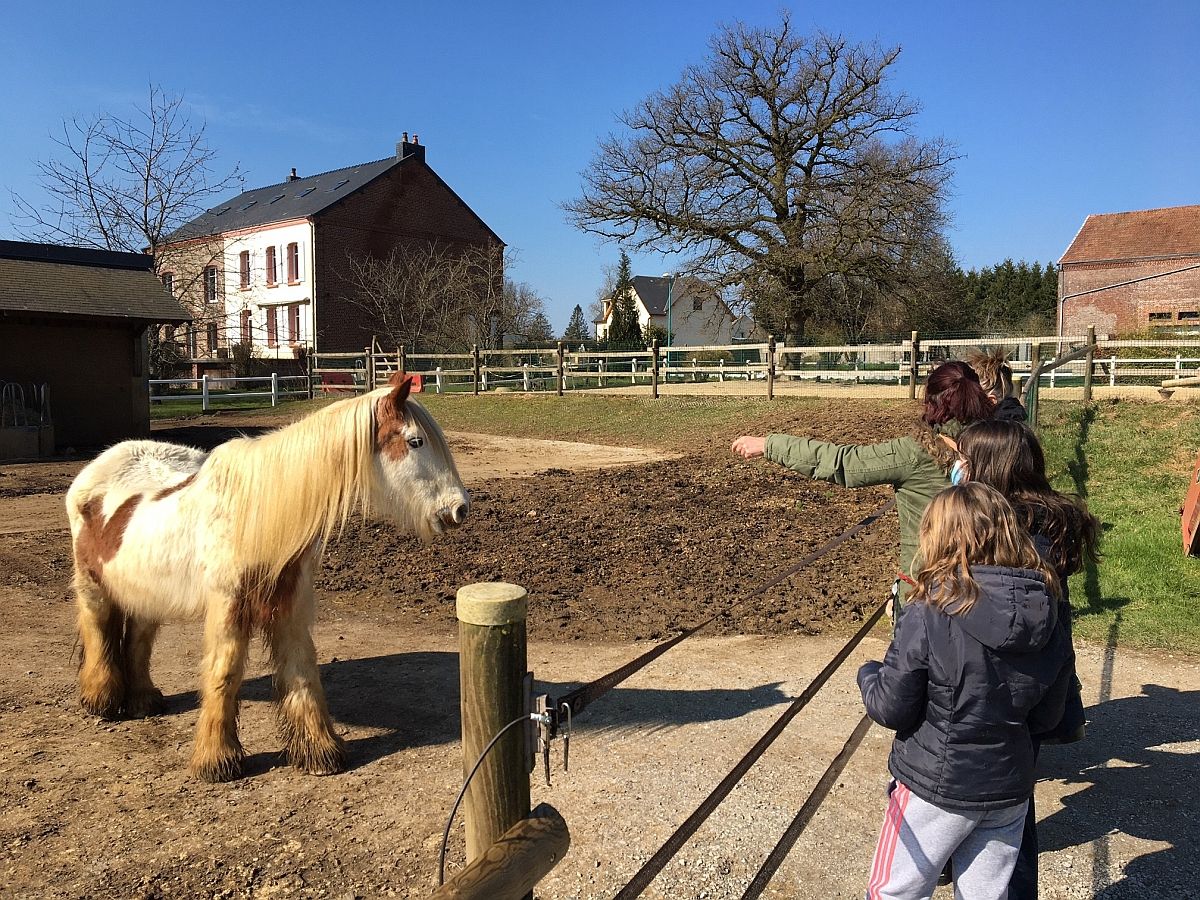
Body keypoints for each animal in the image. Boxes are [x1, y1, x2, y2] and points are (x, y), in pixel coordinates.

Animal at [64, 374, 468, 782]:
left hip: (146, 593)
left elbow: (301, 670)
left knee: (139, 639)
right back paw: (101, 700)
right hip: (92, 585)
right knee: (99, 630)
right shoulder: (228, 608)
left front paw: (320, 752)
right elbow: (224, 673)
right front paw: (217, 760)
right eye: (415, 441)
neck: (259, 516)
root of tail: (99, 465)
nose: (459, 509)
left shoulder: (290, 607)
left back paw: (143, 700)